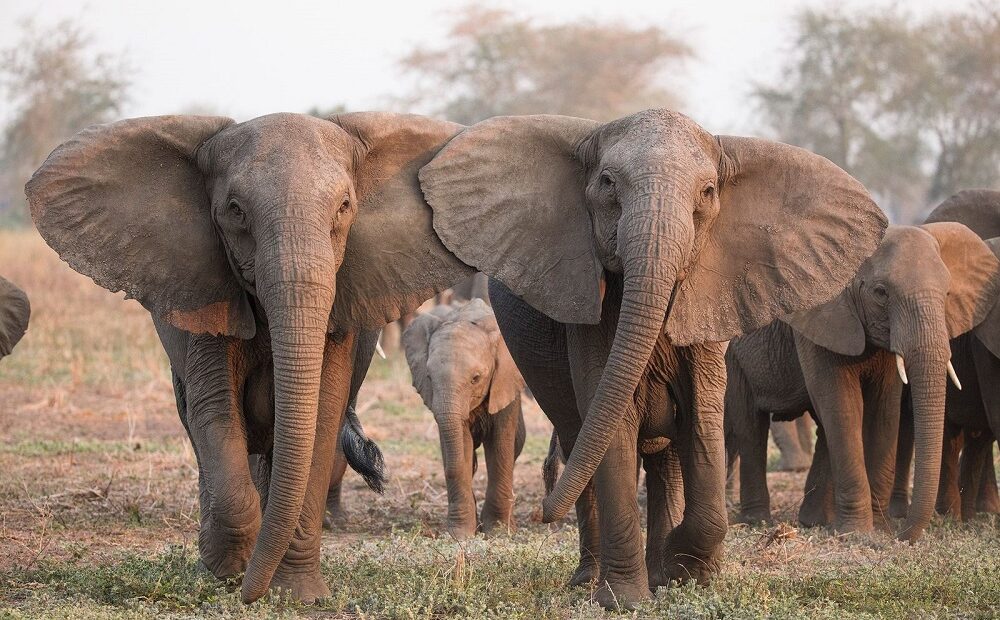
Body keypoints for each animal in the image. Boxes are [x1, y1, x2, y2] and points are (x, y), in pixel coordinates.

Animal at [26, 110, 472, 600]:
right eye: (235, 210)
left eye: (344, 207)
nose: (248, 594)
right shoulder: (206, 293)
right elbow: (215, 410)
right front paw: (226, 576)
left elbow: (321, 416)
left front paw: (296, 594)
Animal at [402, 300, 528, 536]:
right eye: (429, 377)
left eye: (476, 378)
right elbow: (460, 442)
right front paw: (460, 535)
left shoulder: (505, 383)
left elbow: (500, 447)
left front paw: (498, 532)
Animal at [418, 109, 888, 608]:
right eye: (607, 183)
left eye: (708, 192)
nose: (543, 513)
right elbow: (612, 424)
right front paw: (624, 599)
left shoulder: (710, 299)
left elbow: (702, 419)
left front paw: (685, 569)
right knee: (580, 440)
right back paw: (591, 578)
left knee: (664, 458)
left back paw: (659, 568)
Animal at [728, 226, 1000, 536]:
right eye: (880, 293)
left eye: (947, 293)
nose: (903, 535)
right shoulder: (821, 319)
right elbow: (844, 408)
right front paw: (857, 533)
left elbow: (883, 411)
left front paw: (878, 528)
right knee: (750, 426)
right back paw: (757, 521)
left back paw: (814, 521)